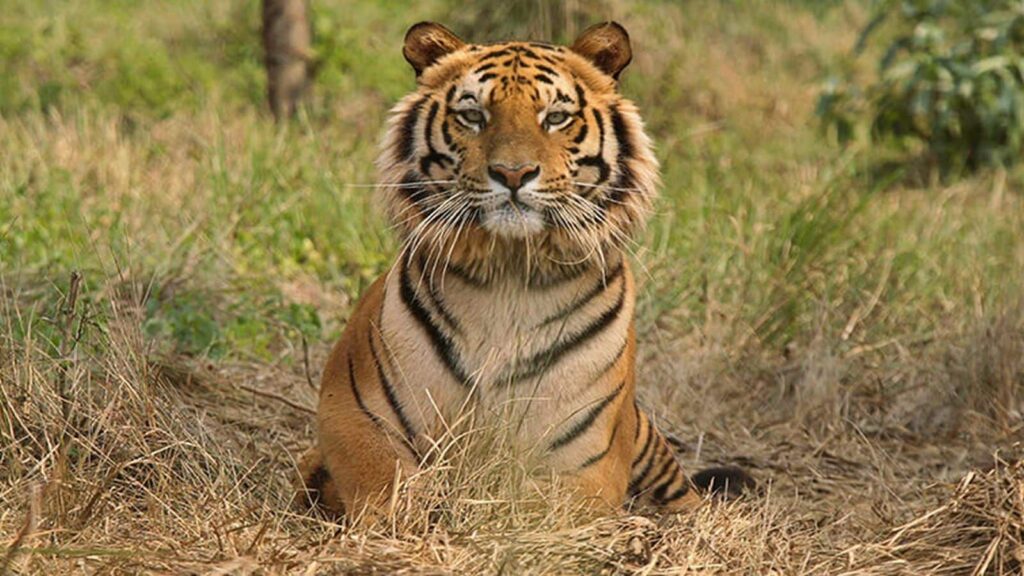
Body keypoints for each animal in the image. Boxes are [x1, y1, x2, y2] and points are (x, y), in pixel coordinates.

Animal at [298, 21, 752, 518]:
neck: (508, 274)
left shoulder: (584, 457)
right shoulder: (351, 414)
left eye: (554, 117)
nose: (512, 173)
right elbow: (384, 488)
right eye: (472, 115)